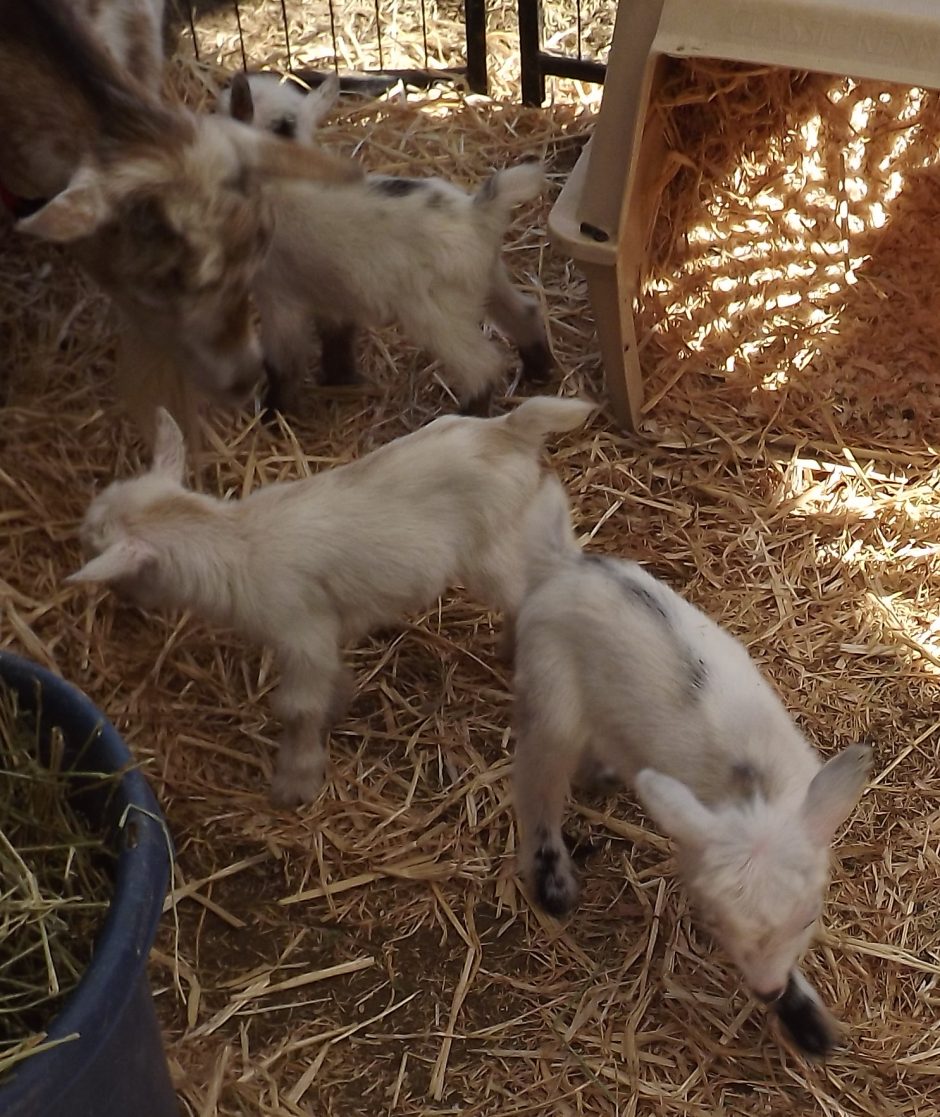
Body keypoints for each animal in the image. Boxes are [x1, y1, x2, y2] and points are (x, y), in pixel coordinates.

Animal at [68, 397, 595, 807]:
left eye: (96, 552)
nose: (121, 602)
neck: (237, 542)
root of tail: (507, 429)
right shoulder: (322, 635)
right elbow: (326, 681)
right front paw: (340, 700)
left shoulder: (299, 632)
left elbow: (296, 707)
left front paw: (294, 783)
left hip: (490, 547)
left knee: (530, 589)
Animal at [224, 73, 554, 416]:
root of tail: (478, 212)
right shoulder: (332, 291)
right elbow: (337, 338)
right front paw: (340, 380)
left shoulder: (278, 294)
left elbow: (282, 362)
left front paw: (275, 413)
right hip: (490, 279)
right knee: (525, 312)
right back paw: (539, 370)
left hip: (436, 311)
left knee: (482, 364)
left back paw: (468, 414)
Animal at [511, 476, 872, 1057]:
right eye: (718, 922)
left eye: (810, 919)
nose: (768, 990)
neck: (754, 789)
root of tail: (565, 566)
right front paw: (801, 1018)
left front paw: (807, 1022)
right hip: (549, 690)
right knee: (537, 781)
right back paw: (553, 880)